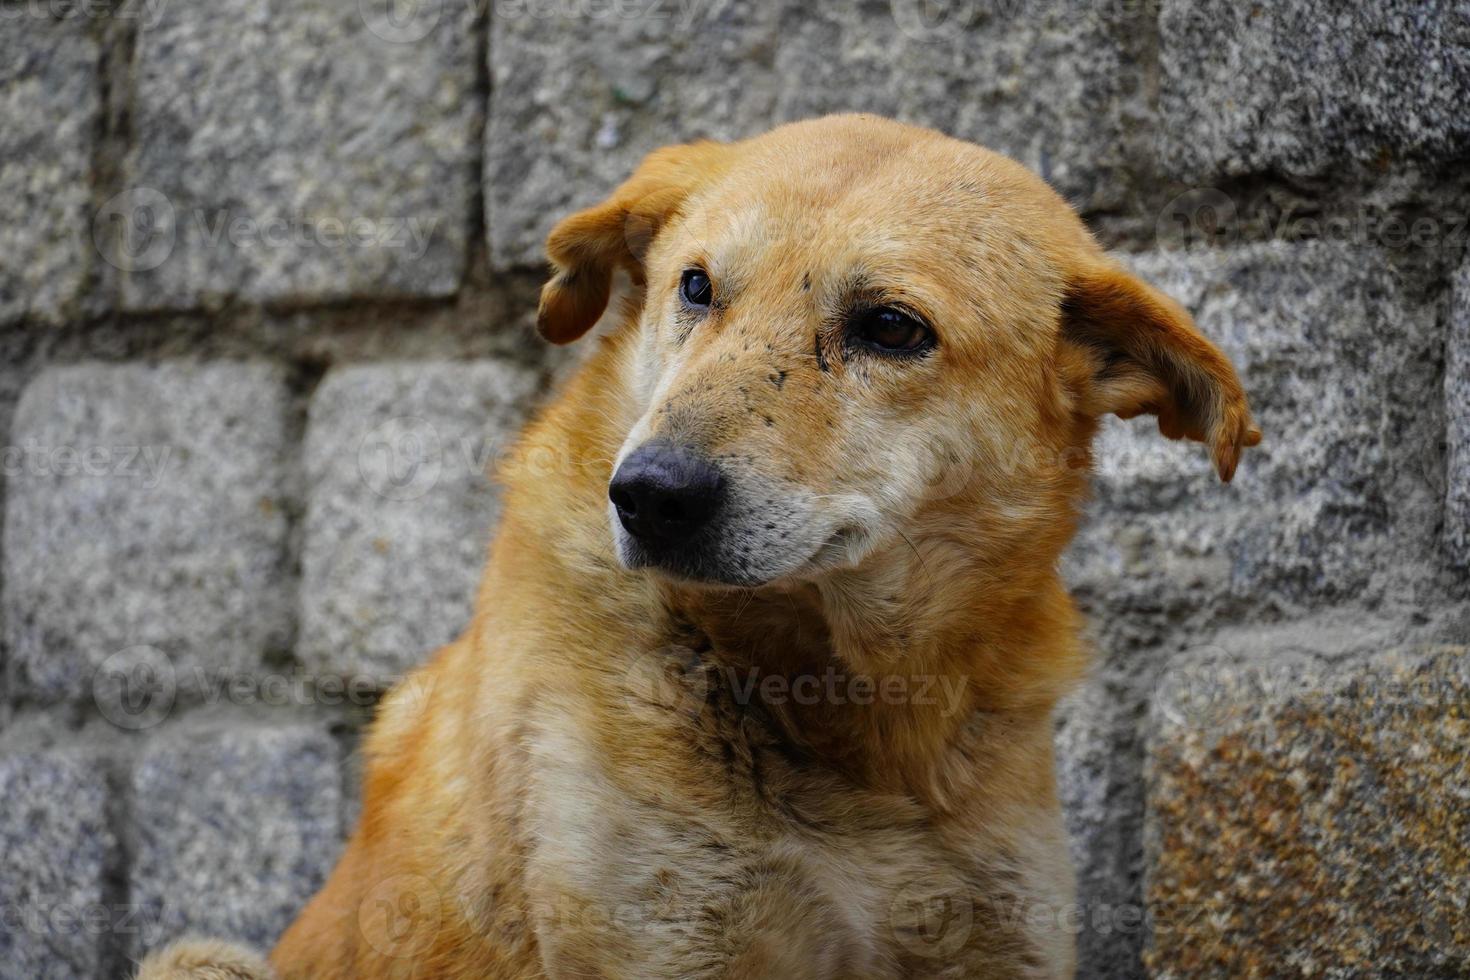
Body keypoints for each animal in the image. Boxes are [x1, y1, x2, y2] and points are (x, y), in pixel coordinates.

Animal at [138, 110, 1258, 975]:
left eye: (893, 327)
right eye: (697, 287)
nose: (648, 497)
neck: (858, 721)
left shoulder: (999, 936)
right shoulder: (661, 938)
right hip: (199, 956)